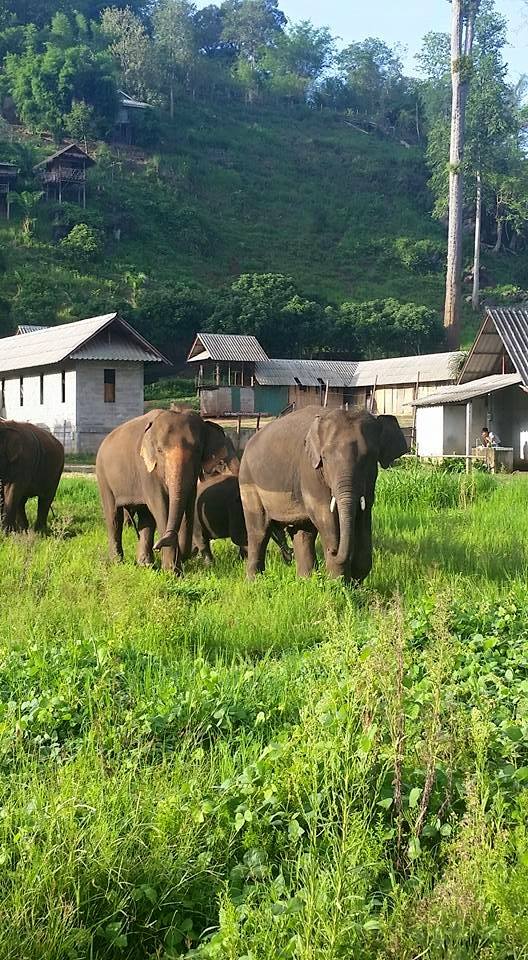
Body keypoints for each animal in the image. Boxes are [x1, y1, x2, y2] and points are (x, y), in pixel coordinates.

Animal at [96, 408, 239, 572]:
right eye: (159, 451)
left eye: (198, 450)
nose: (157, 546)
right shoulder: (146, 470)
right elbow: (160, 505)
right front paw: (172, 571)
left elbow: (189, 504)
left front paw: (173, 568)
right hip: (103, 476)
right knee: (114, 517)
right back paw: (118, 562)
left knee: (146, 519)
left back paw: (146, 565)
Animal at [239, 406, 407, 582]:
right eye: (324, 457)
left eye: (370, 457)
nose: (332, 551)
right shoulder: (309, 470)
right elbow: (326, 515)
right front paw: (339, 583)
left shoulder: (369, 482)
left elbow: (364, 513)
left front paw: (355, 581)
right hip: (248, 481)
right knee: (259, 531)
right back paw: (254, 581)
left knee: (303, 532)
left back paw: (305, 580)